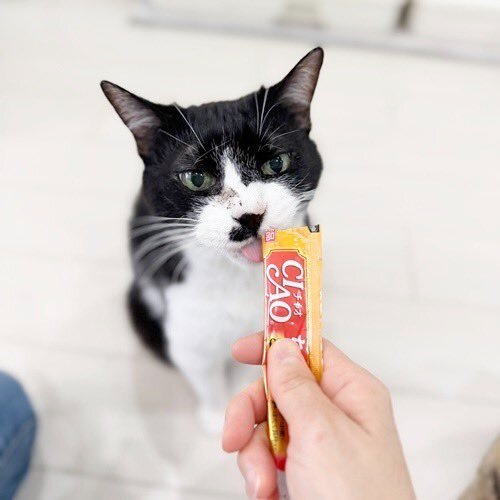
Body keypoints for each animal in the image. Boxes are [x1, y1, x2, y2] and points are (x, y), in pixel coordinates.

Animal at [100, 47, 324, 432]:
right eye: (195, 178)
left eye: (276, 163)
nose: (250, 215)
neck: (235, 279)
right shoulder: (187, 328)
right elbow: (203, 374)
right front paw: (219, 417)